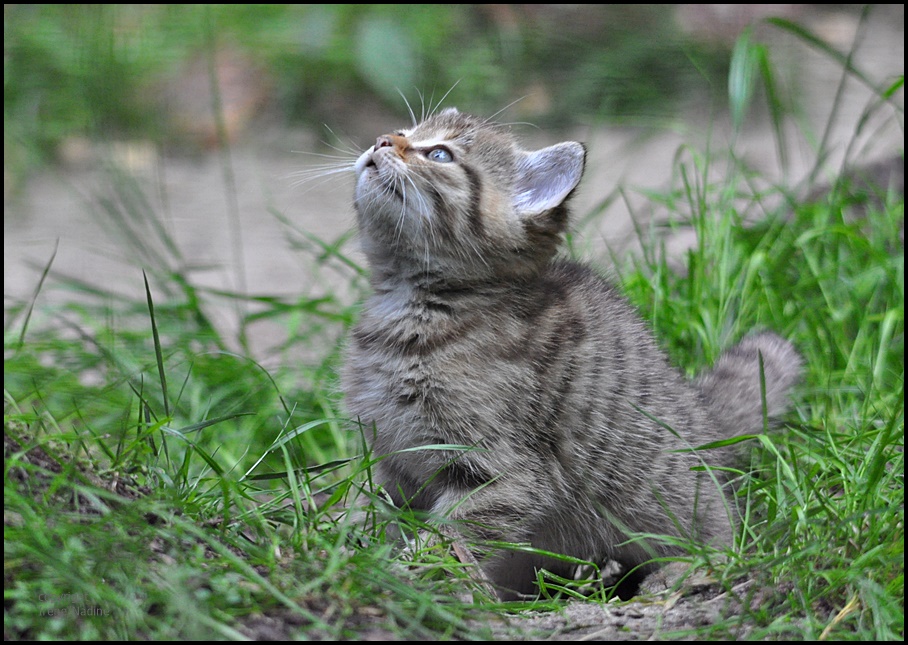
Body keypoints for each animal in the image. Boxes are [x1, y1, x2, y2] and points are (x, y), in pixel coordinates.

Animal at [340, 107, 800, 600]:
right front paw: (362, 554)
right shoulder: (393, 462)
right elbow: (388, 518)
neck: (410, 309)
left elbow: (449, 536)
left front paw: (409, 575)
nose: (382, 140)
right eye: (403, 132)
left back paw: (681, 571)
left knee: (722, 541)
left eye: (440, 154)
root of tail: (707, 422)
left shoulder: (505, 472)